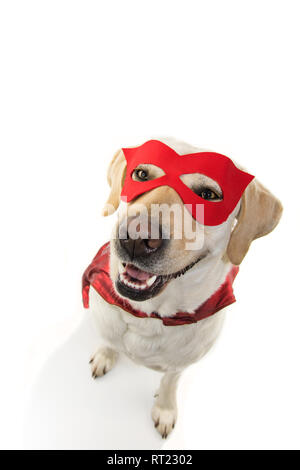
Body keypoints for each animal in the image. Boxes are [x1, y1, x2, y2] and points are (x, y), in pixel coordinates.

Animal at [83, 138, 282, 438]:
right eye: (141, 174)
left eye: (209, 195)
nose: (137, 238)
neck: (147, 316)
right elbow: (109, 341)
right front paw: (106, 355)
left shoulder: (181, 364)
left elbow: (169, 382)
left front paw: (165, 410)